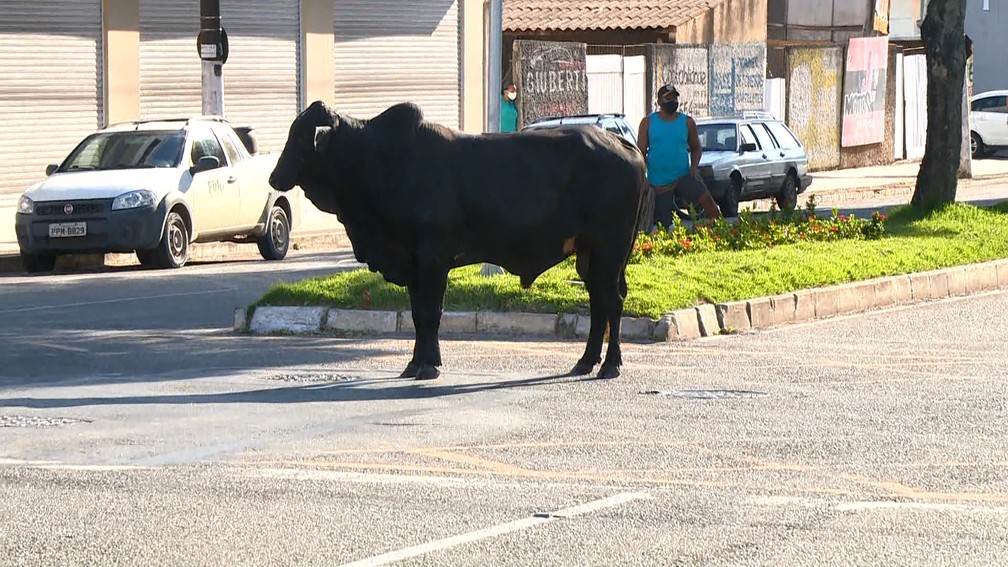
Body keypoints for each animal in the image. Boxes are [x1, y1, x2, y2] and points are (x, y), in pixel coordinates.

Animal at [268, 100, 645, 379]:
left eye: (300, 138)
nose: (273, 177)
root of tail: (623, 145)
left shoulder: (432, 258)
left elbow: (430, 312)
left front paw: (428, 365)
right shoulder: (412, 262)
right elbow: (418, 314)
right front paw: (415, 363)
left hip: (611, 248)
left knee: (612, 302)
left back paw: (610, 365)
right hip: (590, 254)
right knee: (598, 302)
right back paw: (586, 361)